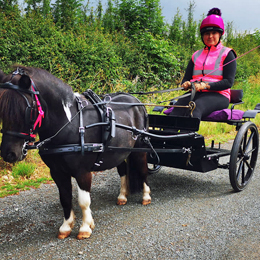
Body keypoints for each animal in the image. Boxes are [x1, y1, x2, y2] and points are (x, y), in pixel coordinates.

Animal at [0, 65, 150, 240]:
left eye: (27, 110)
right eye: (2, 109)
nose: (9, 153)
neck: (70, 124)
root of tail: (136, 101)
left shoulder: (82, 171)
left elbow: (84, 201)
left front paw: (85, 227)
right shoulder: (57, 172)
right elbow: (65, 198)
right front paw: (66, 227)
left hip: (140, 149)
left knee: (143, 170)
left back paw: (146, 196)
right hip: (119, 152)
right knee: (123, 171)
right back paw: (122, 196)